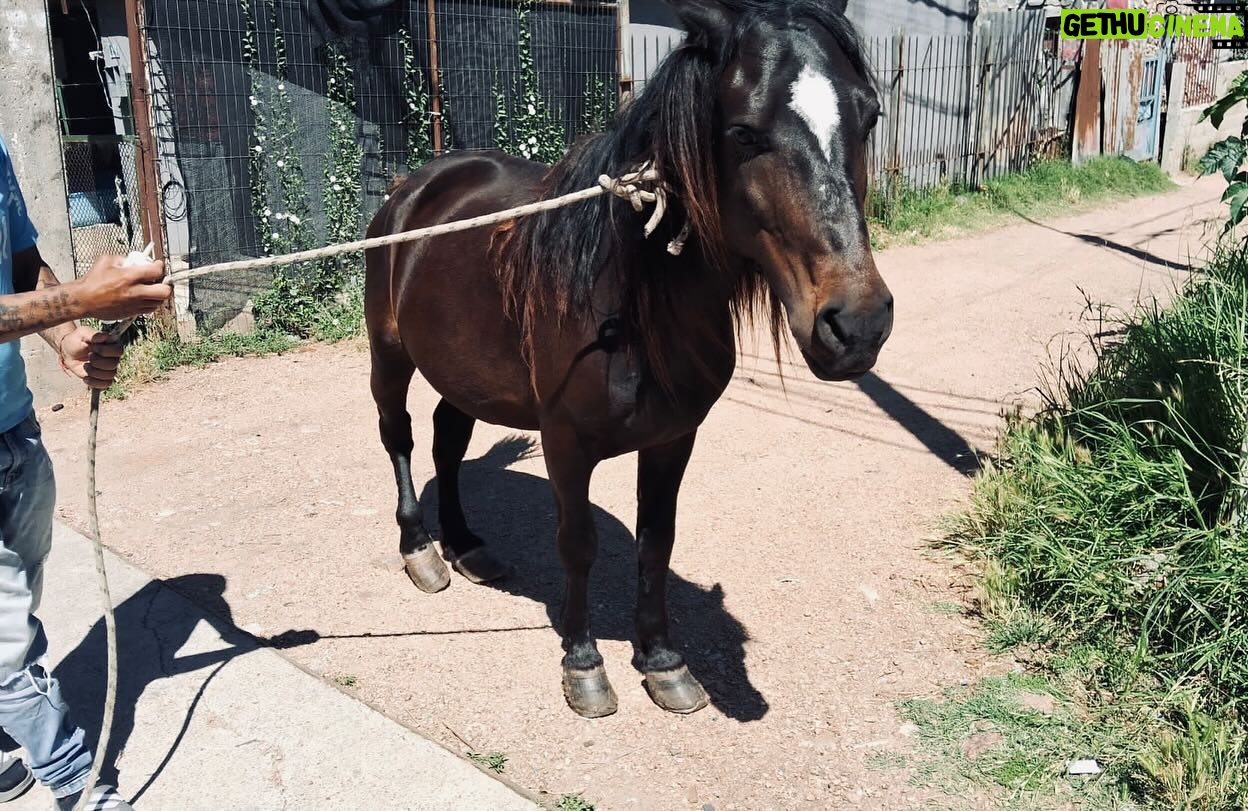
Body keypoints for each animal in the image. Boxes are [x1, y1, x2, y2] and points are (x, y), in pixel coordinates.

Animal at [364, 0, 893, 718]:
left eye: (869, 116)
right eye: (744, 133)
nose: (857, 325)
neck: (630, 304)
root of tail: (415, 186)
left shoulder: (673, 439)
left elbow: (656, 541)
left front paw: (663, 660)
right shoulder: (565, 442)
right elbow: (579, 544)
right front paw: (584, 662)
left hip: (466, 370)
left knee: (449, 437)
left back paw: (468, 544)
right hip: (389, 355)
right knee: (400, 437)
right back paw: (421, 548)